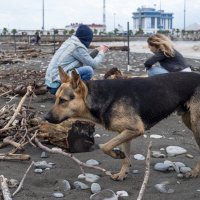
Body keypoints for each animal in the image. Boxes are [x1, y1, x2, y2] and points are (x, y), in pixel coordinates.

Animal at [44, 66, 200, 180]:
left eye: (63, 100)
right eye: (56, 98)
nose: (45, 117)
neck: (97, 97)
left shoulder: (135, 129)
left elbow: (105, 146)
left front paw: (117, 154)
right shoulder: (125, 132)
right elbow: (125, 156)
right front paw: (122, 173)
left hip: (196, 124)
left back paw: (194, 172)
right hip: (188, 120)